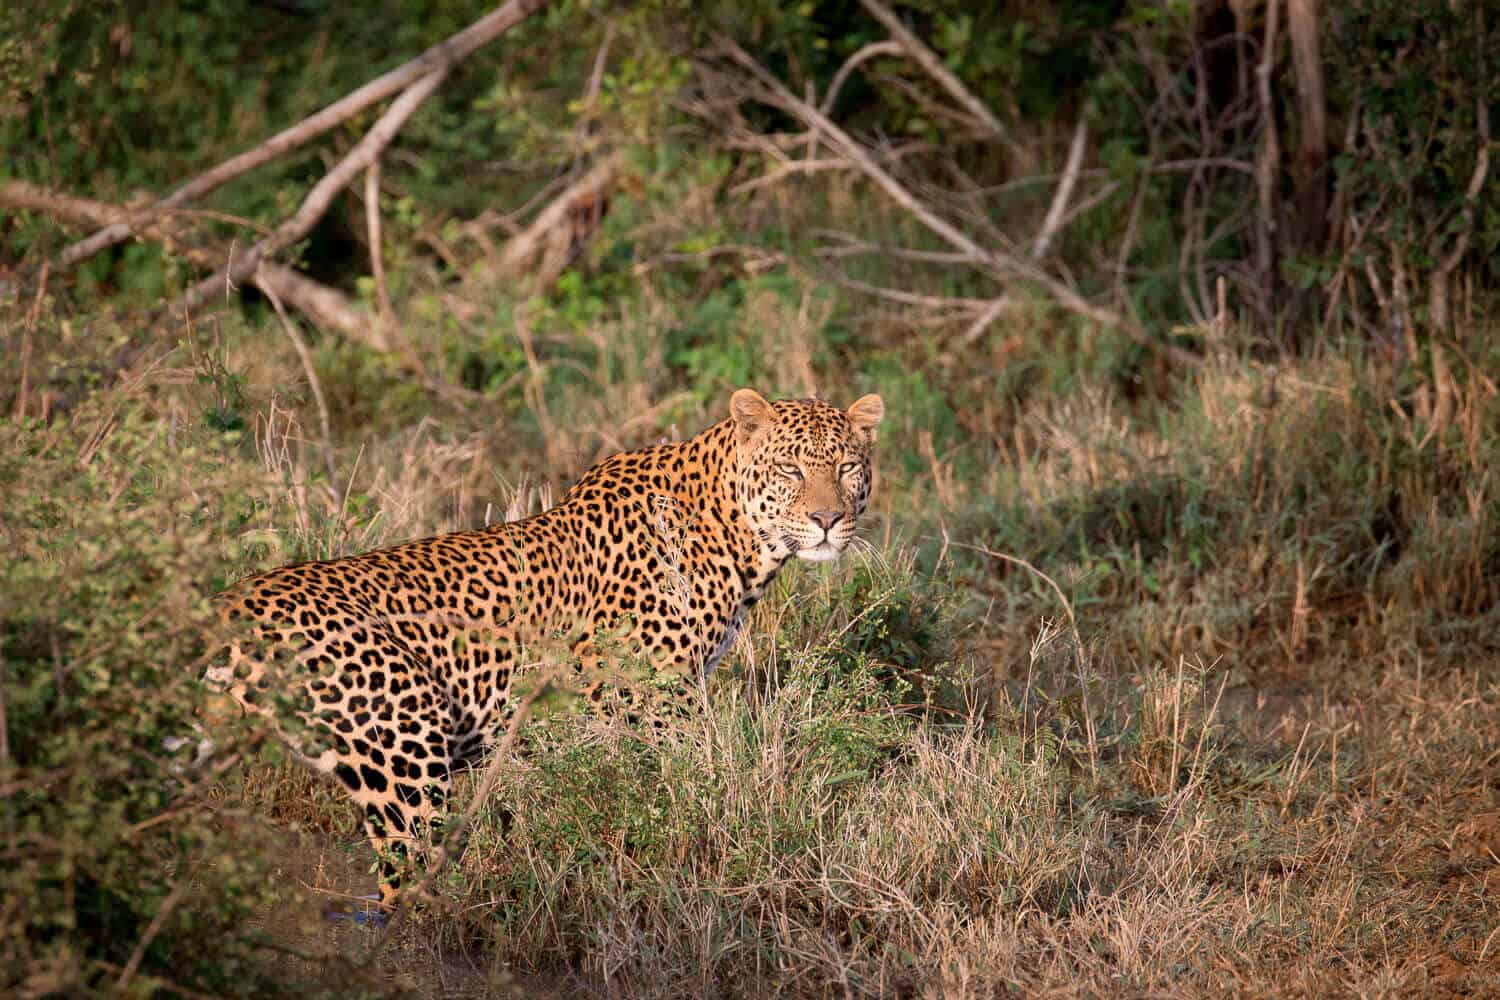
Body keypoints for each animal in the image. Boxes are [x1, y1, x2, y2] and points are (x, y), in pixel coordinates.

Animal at [209, 388, 885, 905]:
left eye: (847, 468)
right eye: (791, 469)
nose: (827, 521)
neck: (738, 540)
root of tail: (224, 607)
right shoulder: (651, 695)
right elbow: (699, 781)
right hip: (404, 749)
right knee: (409, 882)